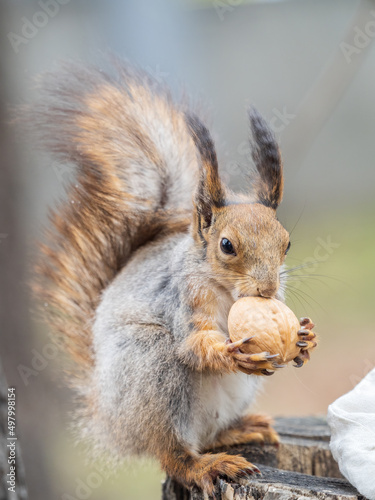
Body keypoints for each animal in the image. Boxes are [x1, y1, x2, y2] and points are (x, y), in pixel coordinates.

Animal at [32, 60, 318, 494]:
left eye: (286, 243)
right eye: (226, 245)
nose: (268, 288)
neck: (228, 292)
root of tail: (108, 422)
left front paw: (304, 337)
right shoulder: (185, 297)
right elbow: (194, 344)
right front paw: (230, 353)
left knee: (207, 434)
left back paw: (239, 431)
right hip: (150, 368)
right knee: (172, 453)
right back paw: (205, 466)